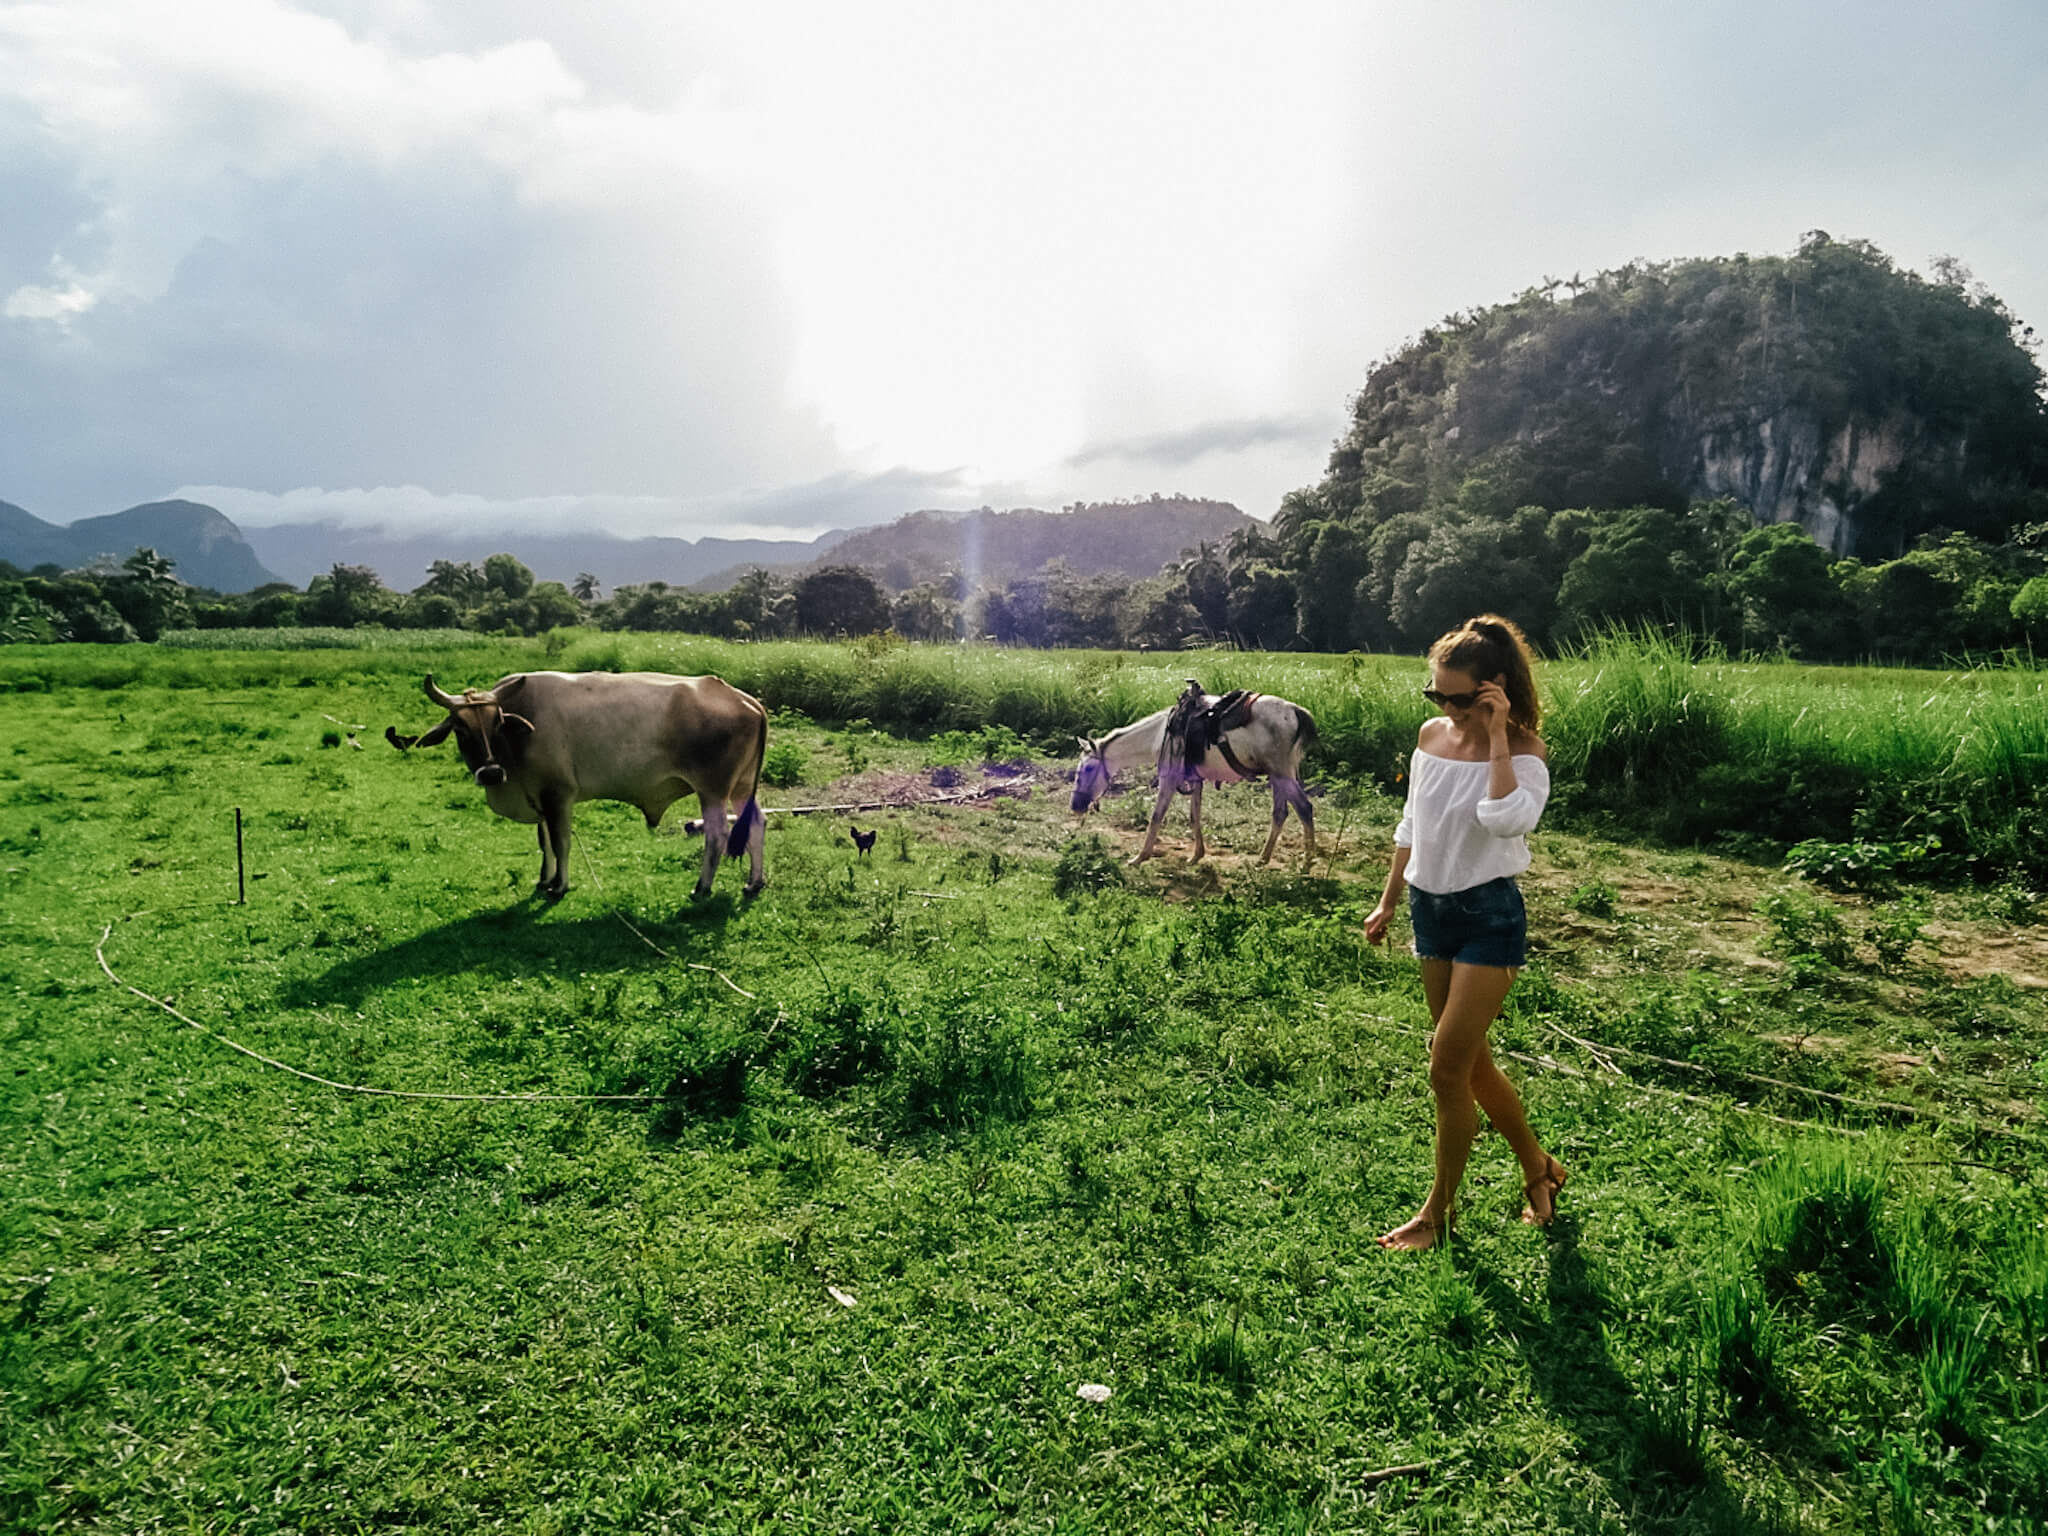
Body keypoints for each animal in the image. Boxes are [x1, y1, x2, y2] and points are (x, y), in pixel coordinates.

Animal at [385, 671, 770, 901]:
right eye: (460, 729)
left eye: (496, 722)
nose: (491, 773)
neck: (519, 738)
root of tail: (746, 699)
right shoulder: (540, 797)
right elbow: (545, 843)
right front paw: (545, 879)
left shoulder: (558, 796)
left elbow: (561, 842)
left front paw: (559, 885)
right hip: (740, 788)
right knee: (756, 823)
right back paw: (754, 882)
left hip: (713, 791)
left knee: (718, 834)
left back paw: (701, 887)